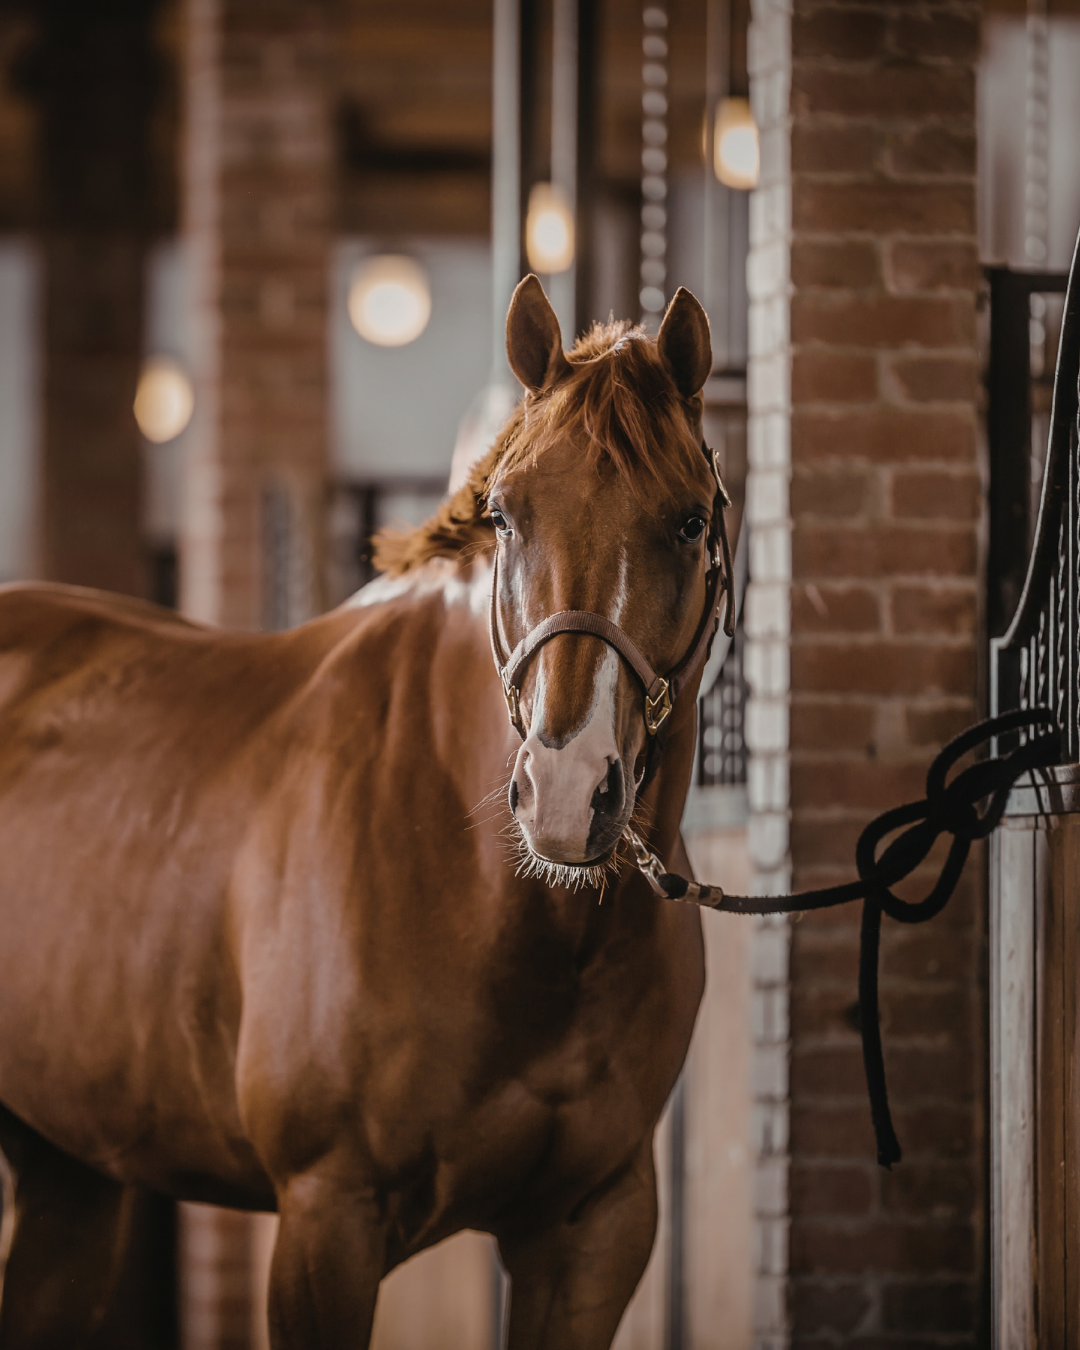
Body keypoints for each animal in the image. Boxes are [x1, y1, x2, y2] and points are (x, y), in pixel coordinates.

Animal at [0, 275, 729, 1349]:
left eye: (685, 522)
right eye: (504, 516)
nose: (566, 793)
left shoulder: (594, 1231)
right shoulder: (327, 1219)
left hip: (69, 1169)